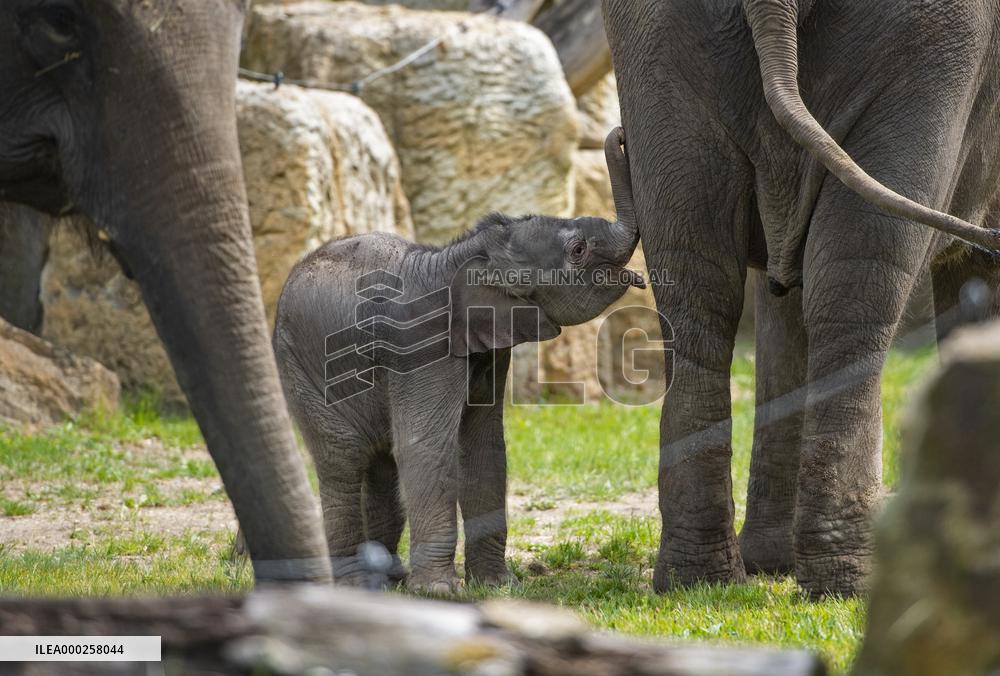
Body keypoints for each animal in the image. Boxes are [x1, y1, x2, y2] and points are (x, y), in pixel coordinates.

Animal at [273, 129, 641, 592]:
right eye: (577, 250)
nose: (621, 134)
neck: (459, 256)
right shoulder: (421, 346)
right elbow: (427, 446)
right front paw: (440, 592)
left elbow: (484, 447)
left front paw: (497, 585)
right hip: (298, 366)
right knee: (344, 460)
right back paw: (355, 585)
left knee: (380, 465)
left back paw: (387, 580)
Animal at [603, 0, 1000, 597]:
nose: (615, 140)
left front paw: (770, 563)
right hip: (939, 39)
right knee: (860, 279)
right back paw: (845, 581)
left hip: (652, 38)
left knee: (696, 278)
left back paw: (699, 580)